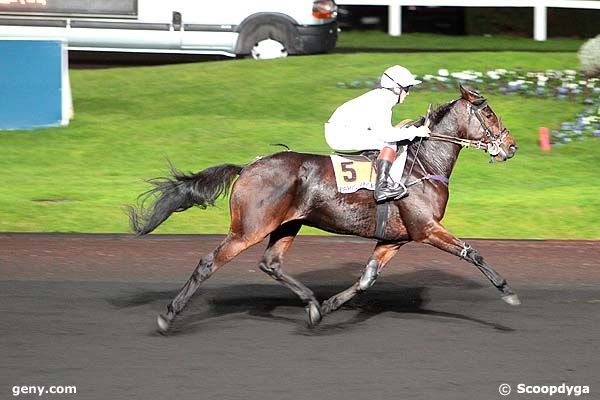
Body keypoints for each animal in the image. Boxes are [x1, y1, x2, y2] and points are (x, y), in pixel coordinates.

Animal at [127, 86, 520, 332]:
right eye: (488, 112)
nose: (512, 146)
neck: (422, 164)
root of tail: (249, 166)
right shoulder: (426, 229)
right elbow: (472, 253)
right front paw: (507, 290)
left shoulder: (395, 238)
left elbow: (366, 279)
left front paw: (330, 306)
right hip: (249, 228)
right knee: (209, 262)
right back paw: (169, 316)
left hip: (287, 225)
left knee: (271, 264)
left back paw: (314, 307)